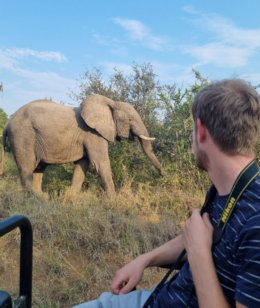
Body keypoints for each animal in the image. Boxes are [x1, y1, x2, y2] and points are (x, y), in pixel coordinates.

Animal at [0, 94, 162, 195]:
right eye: (129, 120)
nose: (162, 174)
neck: (111, 102)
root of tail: (9, 119)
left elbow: (82, 164)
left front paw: (71, 198)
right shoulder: (92, 134)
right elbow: (100, 163)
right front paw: (114, 200)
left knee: (39, 168)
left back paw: (41, 197)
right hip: (23, 135)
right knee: (27, 166)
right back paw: (32, 198)